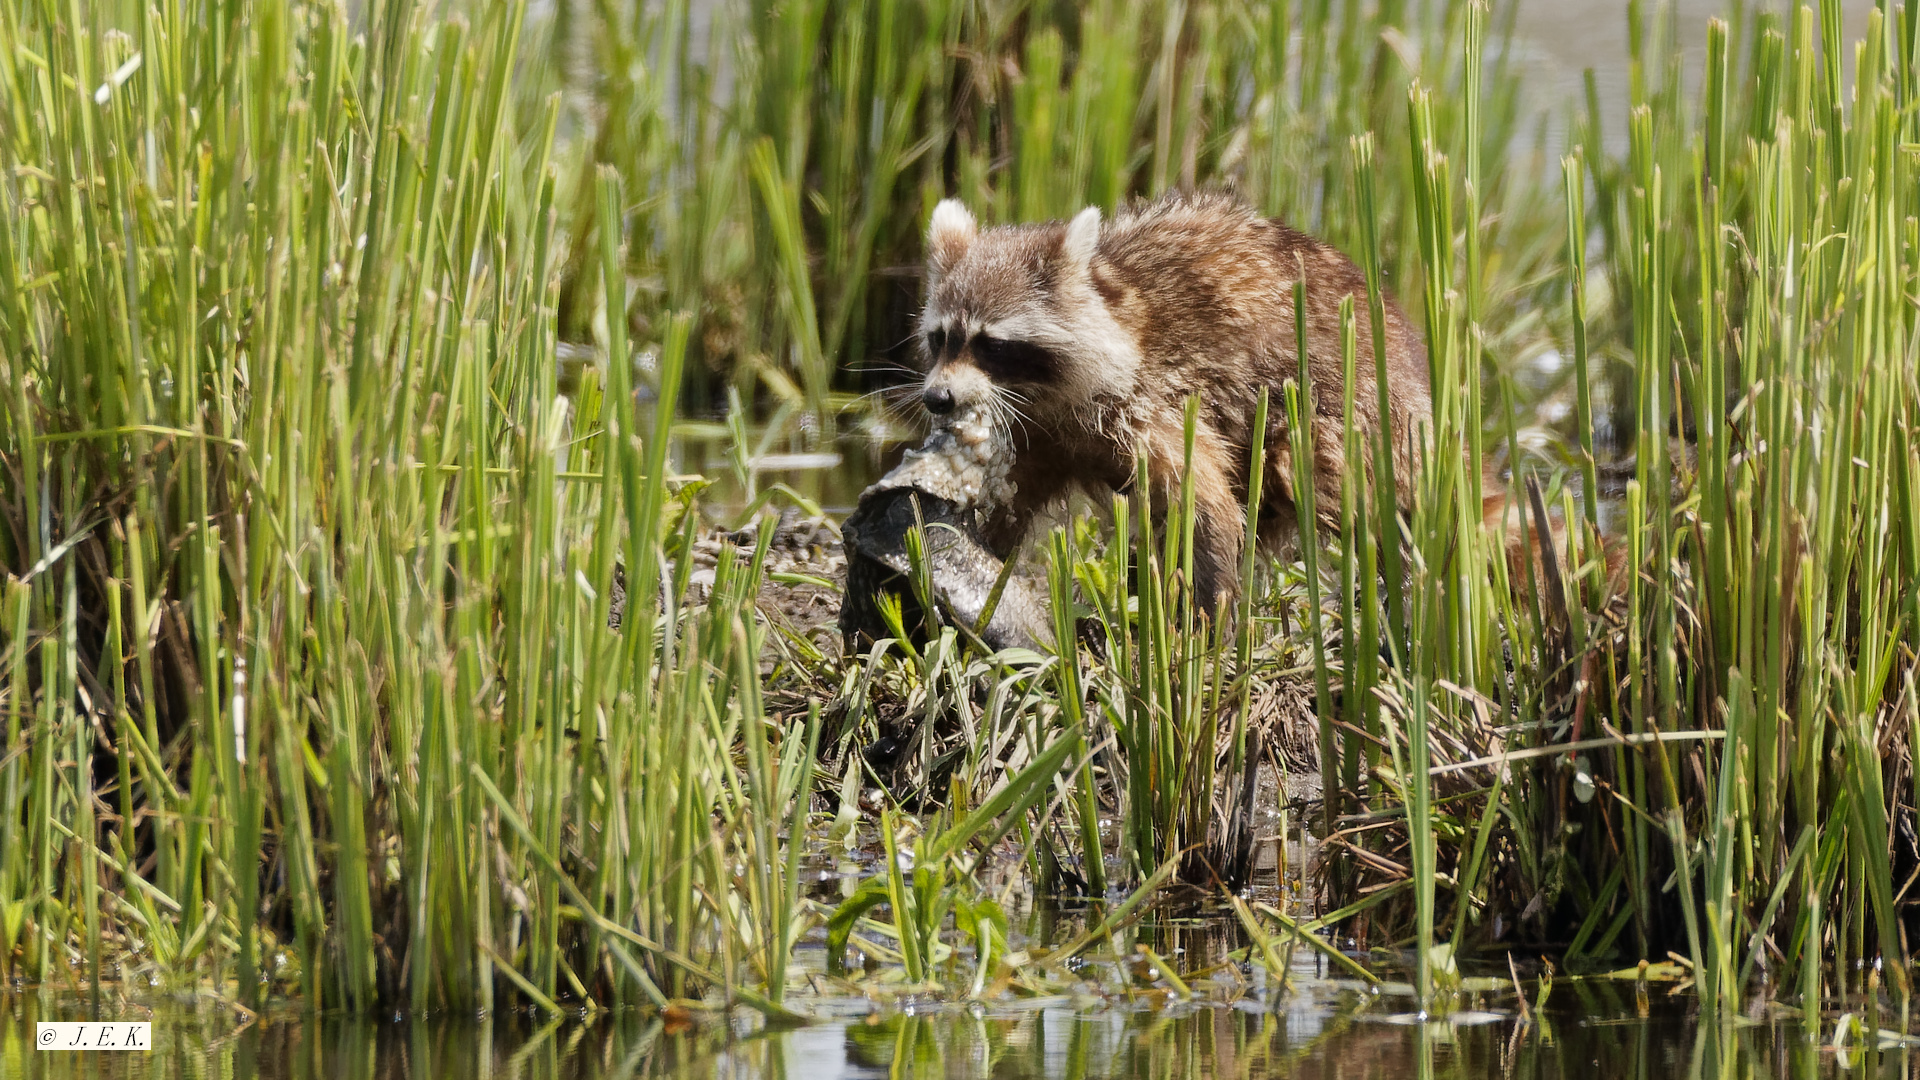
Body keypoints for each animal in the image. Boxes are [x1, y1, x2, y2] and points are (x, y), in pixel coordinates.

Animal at [921, 190, 1436, 614]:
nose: (936, 398)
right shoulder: (1045, 433)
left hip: (1351, 408)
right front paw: (983, 545)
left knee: (1315, 472)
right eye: (940, 338)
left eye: (991, 344)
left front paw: (1209, 618)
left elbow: (1209, 508)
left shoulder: (1154, 401)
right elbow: (1017, 497)